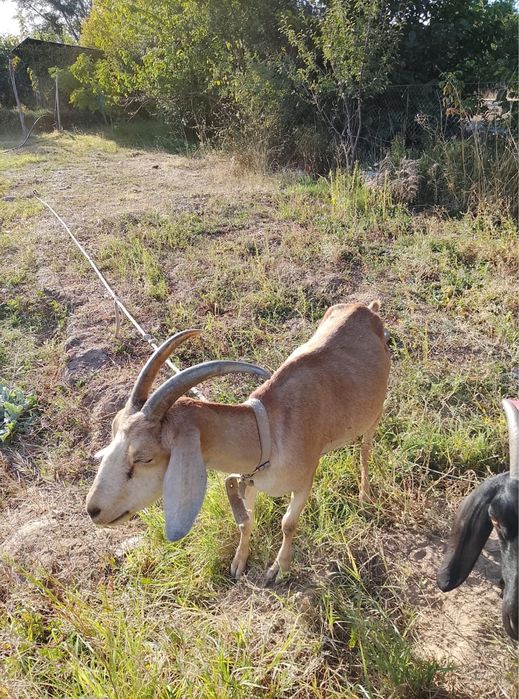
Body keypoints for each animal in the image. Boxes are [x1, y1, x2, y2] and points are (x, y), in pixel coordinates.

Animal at [86, 301, 390, 583]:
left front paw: (279, 569)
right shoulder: (250, 479)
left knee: (365, 449)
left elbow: (288, 524)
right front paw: (238, 563)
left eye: (144, 457)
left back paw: (365, 496)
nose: (93, 510)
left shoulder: (305, 479)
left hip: (375, 413)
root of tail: (367, 308)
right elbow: (246, 521)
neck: (268, 433)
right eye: (113, 432)